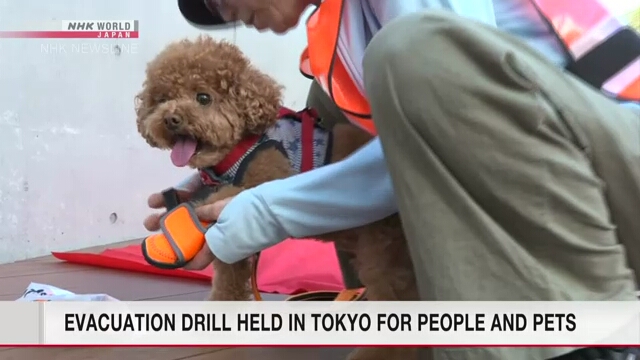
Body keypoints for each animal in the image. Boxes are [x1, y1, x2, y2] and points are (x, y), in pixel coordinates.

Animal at [135, 35, 420, 360]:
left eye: (203, 98)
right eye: (162, 99)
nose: (171, 119)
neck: (238, 148)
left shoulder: (269, 176)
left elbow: (229, 199)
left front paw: (192, 212)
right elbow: (228, 278)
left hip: (382, 250)